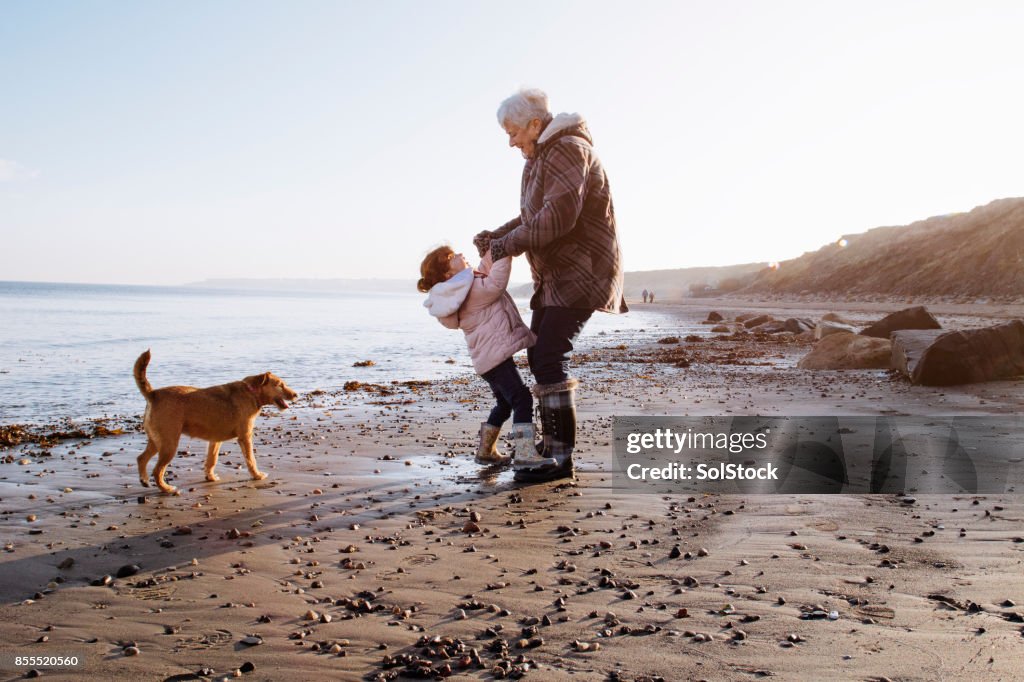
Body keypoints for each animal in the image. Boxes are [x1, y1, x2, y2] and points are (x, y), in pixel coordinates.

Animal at [132, 348, 296, 491]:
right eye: (279, 385)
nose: (296, 395)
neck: (252, 391)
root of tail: (153, 394)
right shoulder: (245, 437)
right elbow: (251, 459)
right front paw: (257, 475)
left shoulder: (215, 441)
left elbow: (212, 460)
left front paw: (210, 477)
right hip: (169, 444)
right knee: (157, 470)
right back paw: (166, 489)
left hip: (157, 441)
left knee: (141, 458)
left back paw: (144, 480)